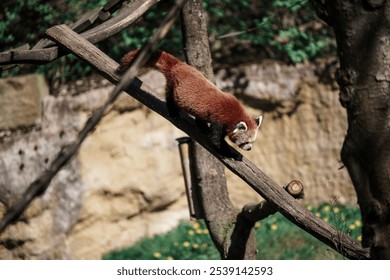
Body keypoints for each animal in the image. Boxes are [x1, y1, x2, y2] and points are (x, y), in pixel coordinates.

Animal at [117, 50, 260, 155]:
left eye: (253, 141)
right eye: (246, 142)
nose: (250, 149)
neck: (234, 114)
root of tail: (178, 65)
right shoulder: (220, 119)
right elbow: (215, 140)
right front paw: (231, 153)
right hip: (174, 85)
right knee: (170, 97)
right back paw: (173, 111)